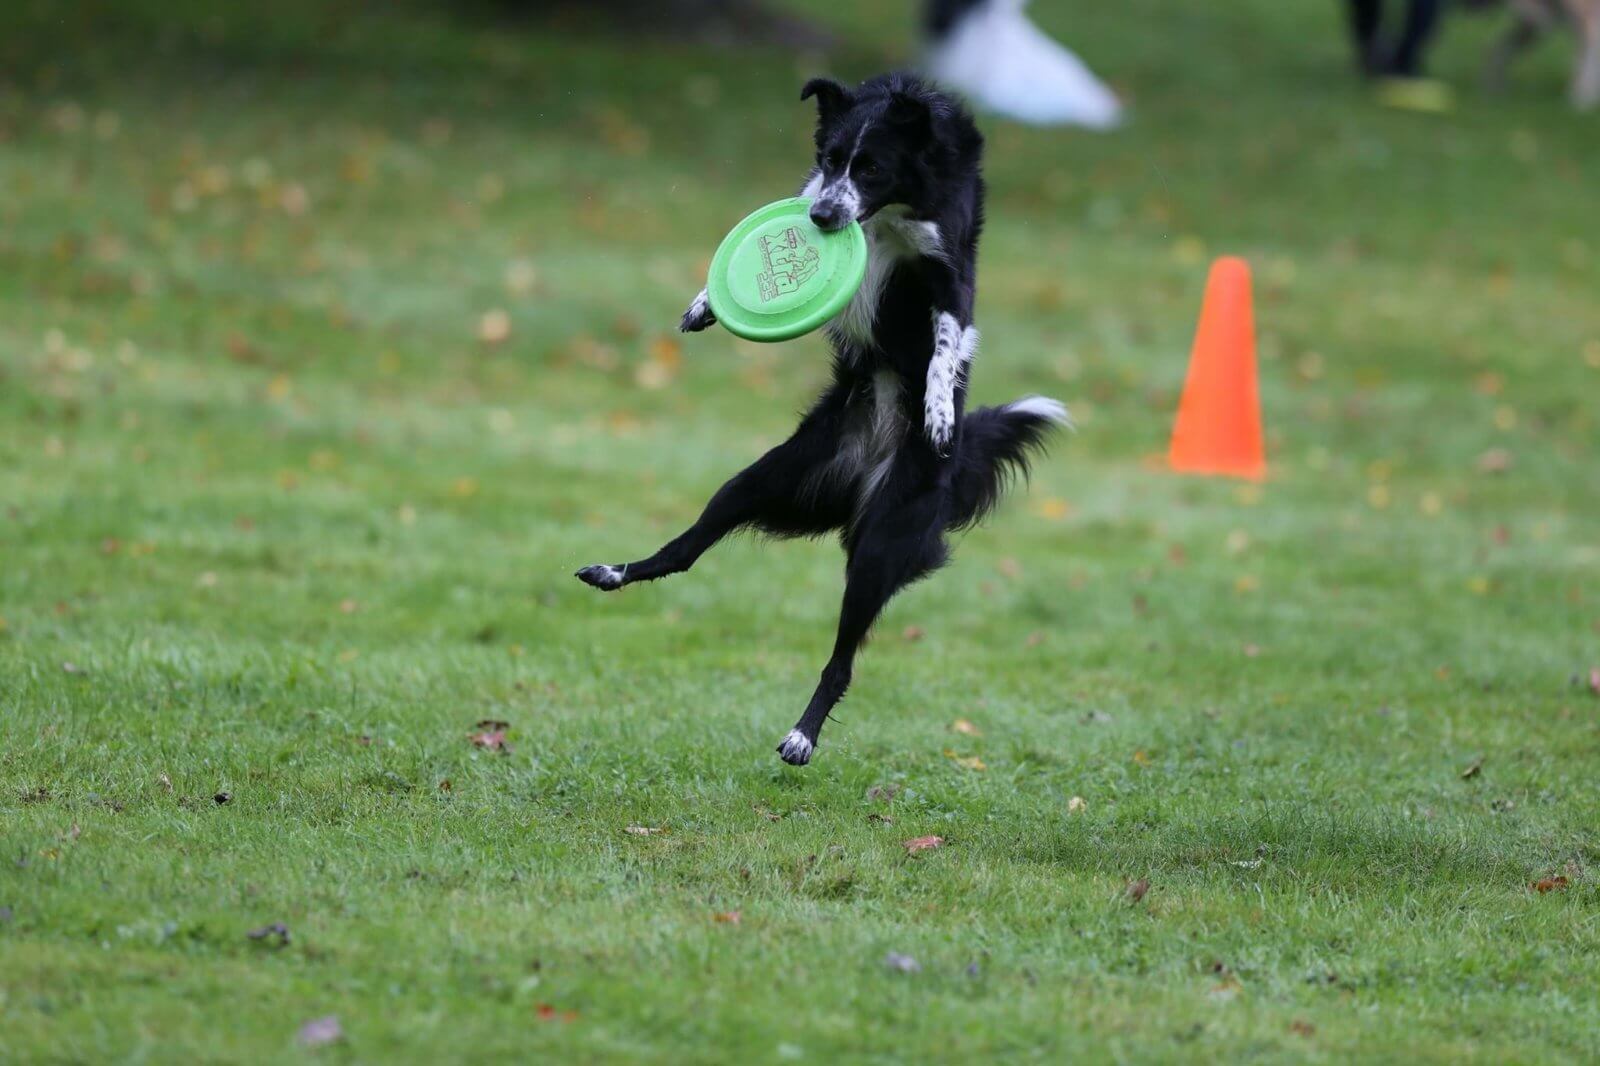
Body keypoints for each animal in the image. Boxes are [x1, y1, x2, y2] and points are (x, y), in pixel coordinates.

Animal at [576, 74, 1062, 765]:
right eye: (832, 160)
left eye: (873, 167)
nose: (824, 220)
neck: (884, 215)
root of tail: (862, 476)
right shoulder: (809, 189)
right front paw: (703, 304)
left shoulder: (947, 271)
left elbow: (947, 342)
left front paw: (939, 409)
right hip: (764, 479)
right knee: (686, 550)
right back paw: (612, 572)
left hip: (882, 544)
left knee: (842, 661)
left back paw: (802, 735)